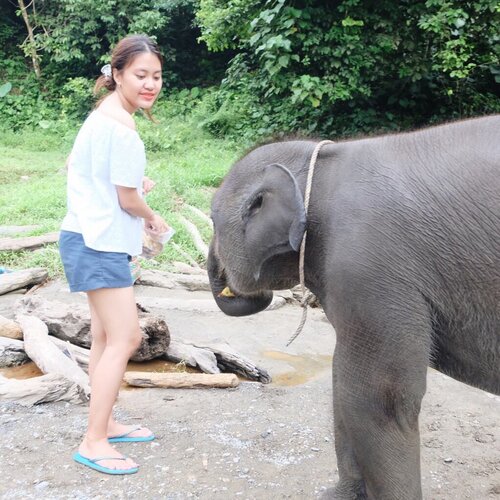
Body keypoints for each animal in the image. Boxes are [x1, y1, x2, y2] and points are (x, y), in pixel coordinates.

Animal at [207, 114, 500, 500]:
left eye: (212, 220)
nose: (226, 280)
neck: (323, 162)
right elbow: (342, 384)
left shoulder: (370, 267)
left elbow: (377, 399)